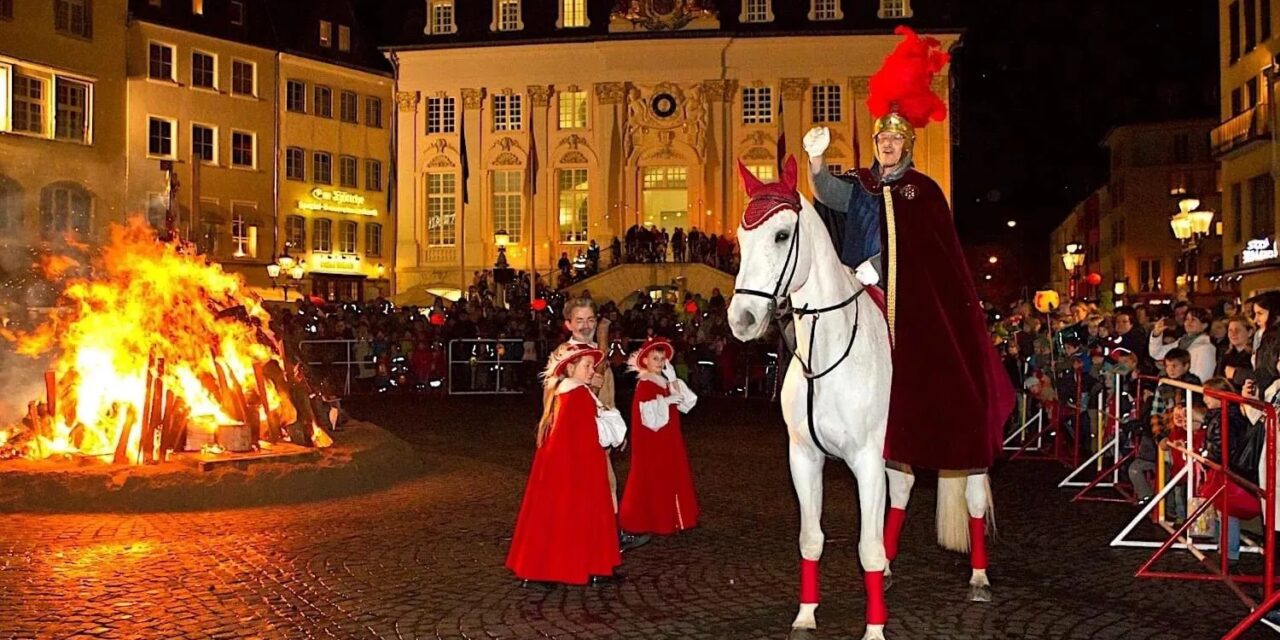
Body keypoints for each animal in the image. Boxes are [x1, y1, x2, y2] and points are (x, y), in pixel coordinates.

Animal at [727, 156, 896, 640]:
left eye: (782, 235)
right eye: (741, 238)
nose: (742, 320)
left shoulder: (867, 460)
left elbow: (867, 548)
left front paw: (874, 629)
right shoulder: (804, 457)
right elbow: (811, 539)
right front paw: (805, 615)